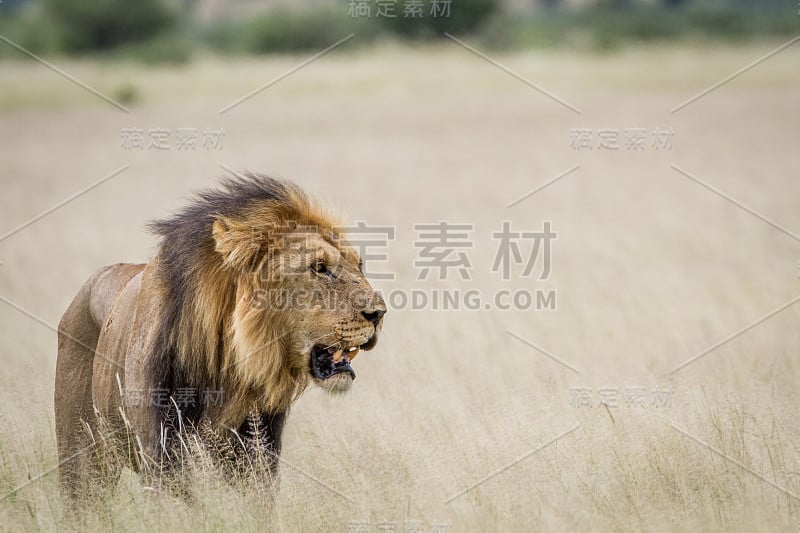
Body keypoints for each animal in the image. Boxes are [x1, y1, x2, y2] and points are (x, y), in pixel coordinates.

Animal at [53, 175, 384, 502]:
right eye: (319, 268)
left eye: (359, 264)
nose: (379, 313)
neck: (231, 367)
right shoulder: (162, 454)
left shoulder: (257, 453)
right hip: (82, 460)